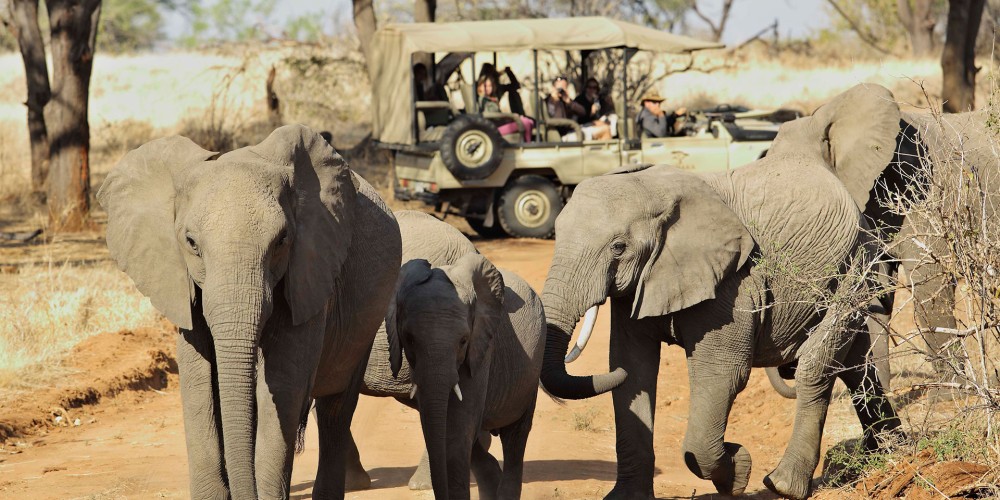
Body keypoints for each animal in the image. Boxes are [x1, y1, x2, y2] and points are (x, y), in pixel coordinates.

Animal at [98, 124, 402, 496]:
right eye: (191, 243)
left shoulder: (309, 272)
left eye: (281, 241)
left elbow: (283, 383)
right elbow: (198, 379)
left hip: (365, 321)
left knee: (335, 409)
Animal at [386, 254, 544, 500]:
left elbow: (457, 434)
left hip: (531, 373)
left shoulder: (482, 350)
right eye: (409, 339)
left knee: (515, 438)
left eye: (463, 341)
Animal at [544, 84, 904, 498]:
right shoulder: (643, 284)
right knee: (854, 362)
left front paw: (738, 469)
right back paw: (892, 453)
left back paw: (783, 484)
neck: (656, 189)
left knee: (818, 362)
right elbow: (634, 370)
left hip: (854, 264)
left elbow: (722, 374)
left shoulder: (733, 285)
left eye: (618, 247)